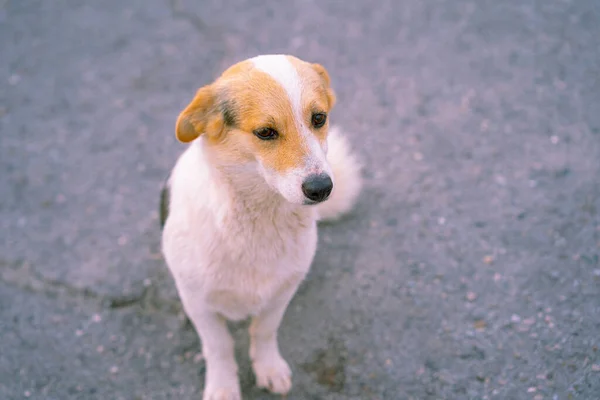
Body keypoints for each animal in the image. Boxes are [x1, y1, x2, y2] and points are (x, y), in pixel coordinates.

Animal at [159, 54, 360, 400]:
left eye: (319, 118)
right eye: (266, 132)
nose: (322, 188)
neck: (260, 217)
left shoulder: (280, 295)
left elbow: (264, 331)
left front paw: (268, 367)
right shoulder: (200, 305)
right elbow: (219, 346)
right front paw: (223, 387)